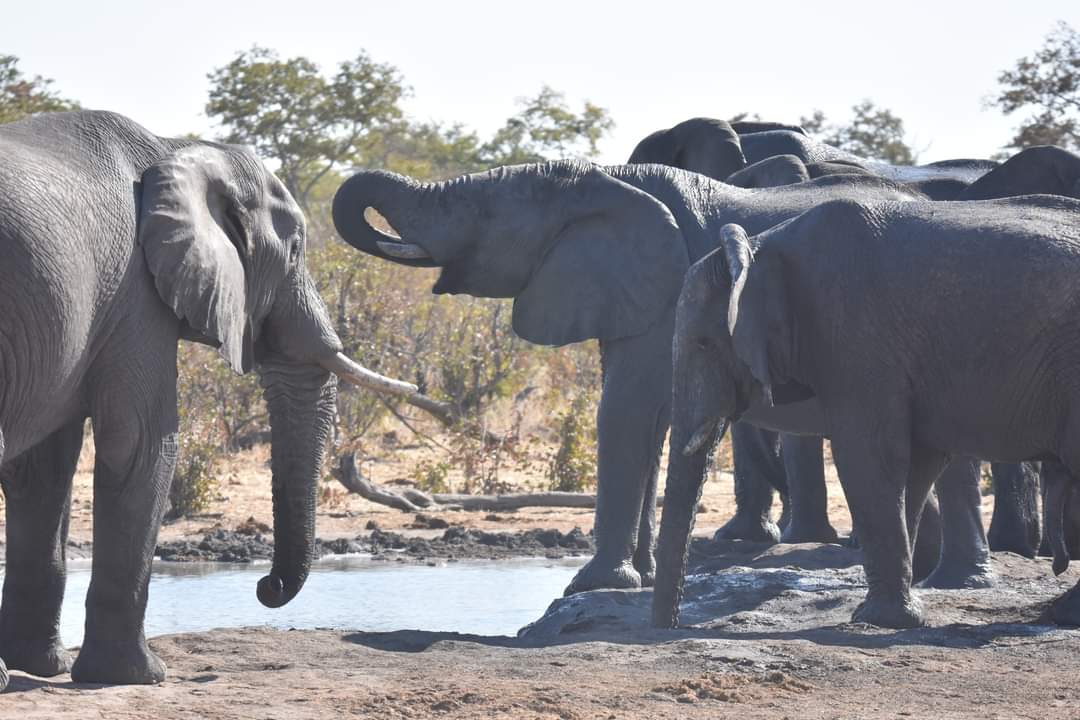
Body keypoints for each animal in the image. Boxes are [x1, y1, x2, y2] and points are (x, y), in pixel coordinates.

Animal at [0, 110, 416, 685]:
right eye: (296, 249)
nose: (266, 587)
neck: (179, 148)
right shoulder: (135, 293)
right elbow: (142, 444)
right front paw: (140, 676)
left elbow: (42, 467)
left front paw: (45, 667)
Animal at [332, 159, 934, 596]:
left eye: (476, 210)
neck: (606, 178)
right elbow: (656, 420)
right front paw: (638, 578)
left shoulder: (668, 288)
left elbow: (626, 409)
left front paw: (590, 586)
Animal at [654, 193, 1080, 630]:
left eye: (703, 343)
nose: (670, 626)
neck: (759, 249)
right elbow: (915, 468)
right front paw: (891, 614)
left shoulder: (855, 338)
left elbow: (868, 458)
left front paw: (881, 620)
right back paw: (1061, 613)